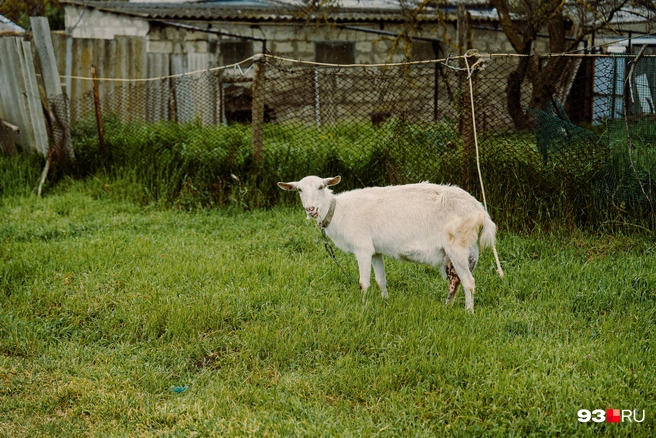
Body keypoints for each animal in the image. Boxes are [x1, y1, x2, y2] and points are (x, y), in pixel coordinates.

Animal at [278, 176, 503, 313]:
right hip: (463, 252)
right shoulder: (376, 252)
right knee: (454, 282)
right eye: (299, 190)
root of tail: (480, 211)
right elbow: (381, 281)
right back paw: (447, 307)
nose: (311, 209)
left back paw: (468, 313)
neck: (339, 212)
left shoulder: (363, 248)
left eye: (321, 187)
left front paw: (362, 306)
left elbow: (364, 283)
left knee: (468, 282)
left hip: (457, 247)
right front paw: (385, 302)